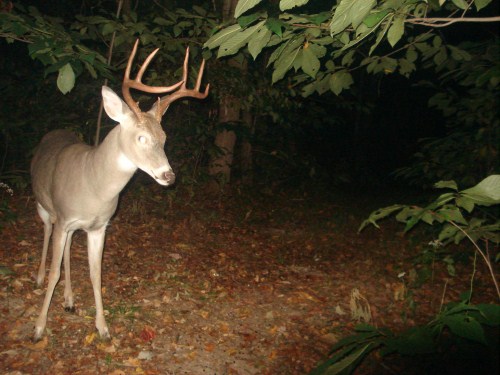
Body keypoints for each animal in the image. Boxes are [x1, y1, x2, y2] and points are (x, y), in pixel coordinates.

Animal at [29, 39, 209, 342]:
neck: (94, 186)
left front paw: (102, 327)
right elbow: (55, 272)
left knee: (67, 252)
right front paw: (39, 328)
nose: (168, 175)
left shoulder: (99, 226)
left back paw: (69, 300)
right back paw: (40, 278)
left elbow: (95, 273)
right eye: (141, 137)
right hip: (45, 207)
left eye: (164, 138)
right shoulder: (64, 219)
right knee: (45, 232)